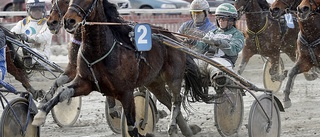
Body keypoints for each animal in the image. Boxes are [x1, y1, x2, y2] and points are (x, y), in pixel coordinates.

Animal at [33, 0, 205, 136]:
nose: (66, 21)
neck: (98, 51)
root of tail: (174, 38)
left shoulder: (126, 92)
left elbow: (132, 127)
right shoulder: (84, 82)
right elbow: (62, 93)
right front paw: (41, 112)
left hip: (174, 77)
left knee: (176, 100)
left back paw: (173, 126)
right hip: (154, 82)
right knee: (167, 100)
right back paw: (186, 130)